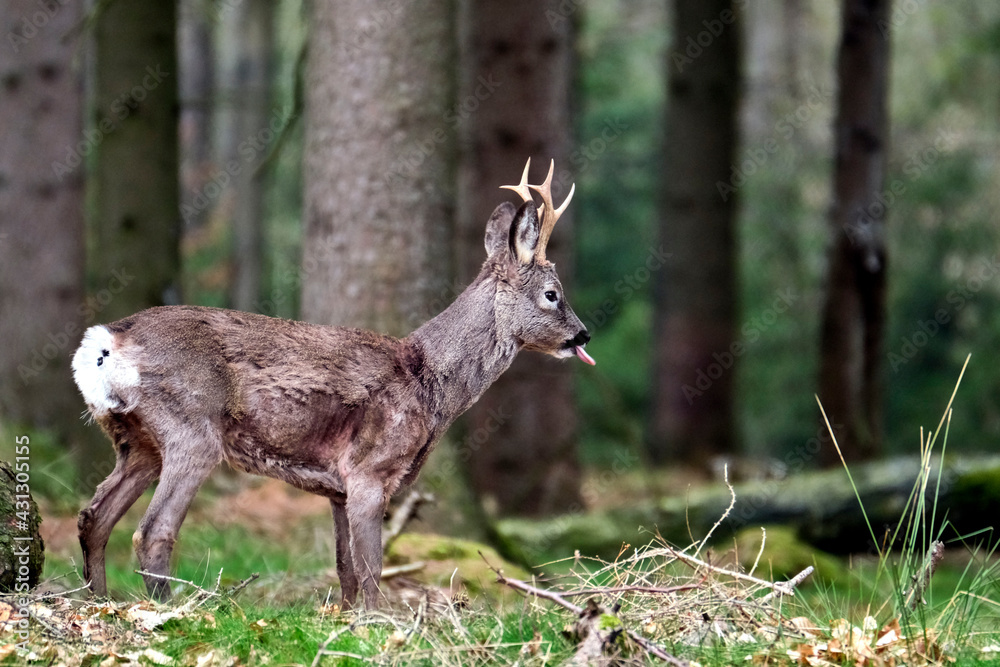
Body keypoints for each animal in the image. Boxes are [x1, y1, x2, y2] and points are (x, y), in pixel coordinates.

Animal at [71, 159, 595, 610]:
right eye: (553, 294)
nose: (583, 335)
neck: (430, 383)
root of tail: (107, 341)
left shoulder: (338, 488)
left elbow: (345, 568)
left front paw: (346, 621)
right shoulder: (369, 470)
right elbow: (372, 568)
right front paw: (379, 626)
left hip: (137, 441)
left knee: (94, 517)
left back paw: (100, 603)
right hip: (191, 428)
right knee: (152, 531)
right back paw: (170, 610)